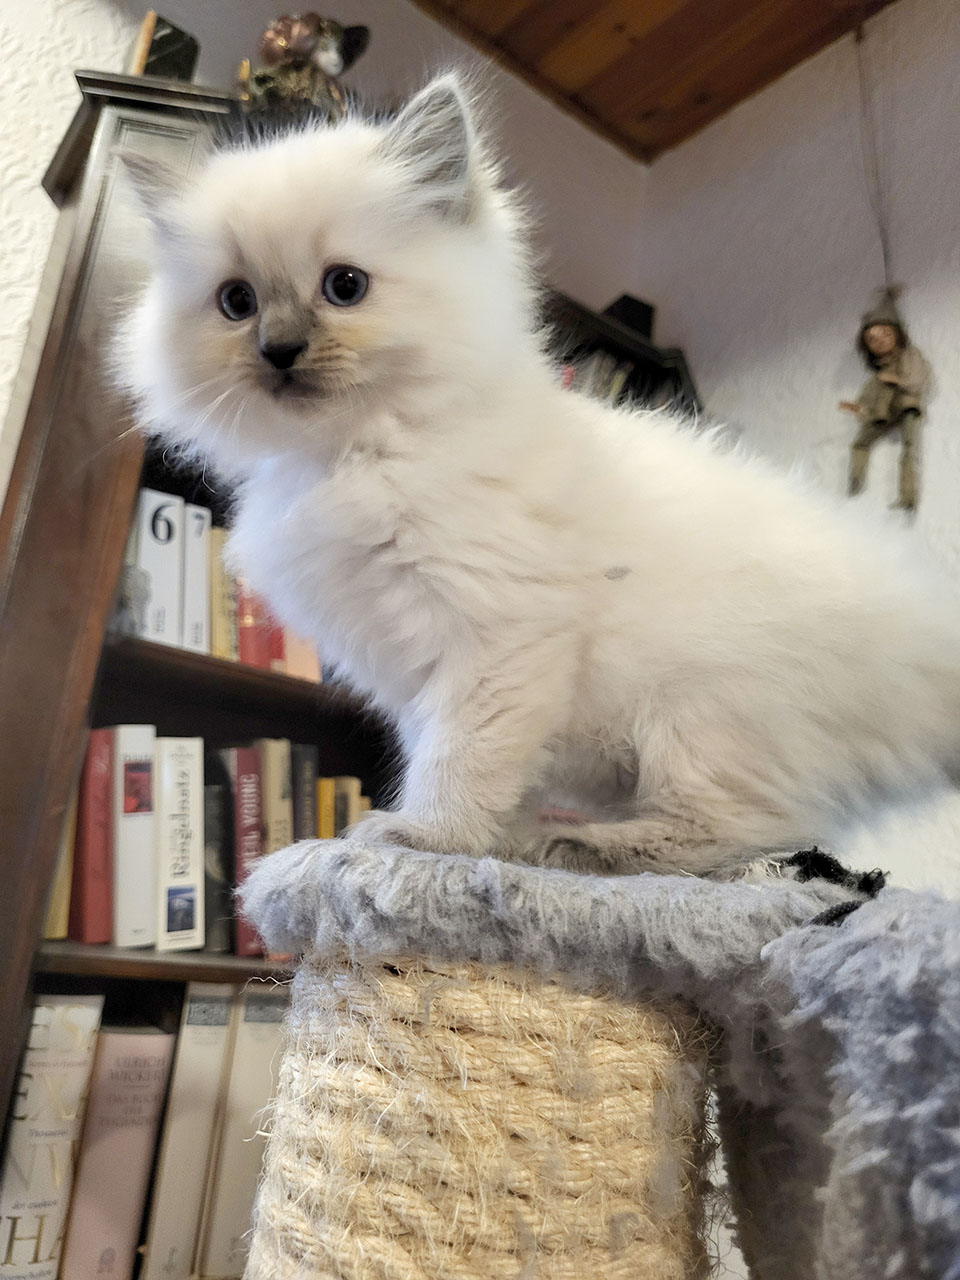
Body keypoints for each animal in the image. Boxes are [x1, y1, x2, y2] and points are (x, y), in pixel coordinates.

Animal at [117, 73, 960, 878]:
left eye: (344, 287)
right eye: (236, 302)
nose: (279, 350)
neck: (358, 454)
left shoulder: (496, 638)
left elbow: (460, 759)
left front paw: (421, 839)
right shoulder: (412, 670)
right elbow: (467, 763)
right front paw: (476, 841)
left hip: (700, 711)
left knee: (742, 832)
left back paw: (579, 847)